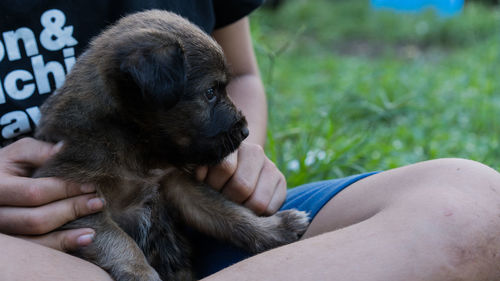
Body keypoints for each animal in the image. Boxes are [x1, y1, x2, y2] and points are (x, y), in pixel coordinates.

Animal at [34, 9, 308, 278]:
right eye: (210, 92)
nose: (245, 131)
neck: (134, 142)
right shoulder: (76, 200)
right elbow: (118, 240)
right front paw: (142, 273)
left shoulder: (178, 185)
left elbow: (228, 213)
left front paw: (275, 227)